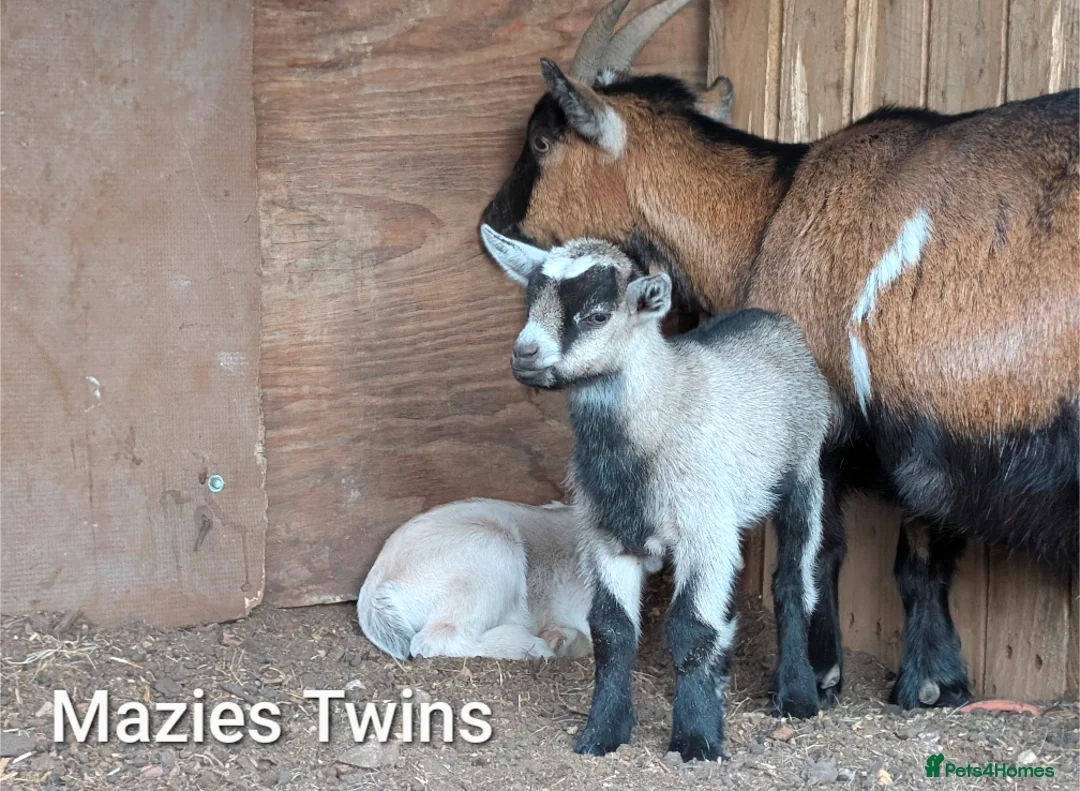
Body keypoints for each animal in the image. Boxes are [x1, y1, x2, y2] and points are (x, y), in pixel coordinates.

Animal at [482, 226, 833, 760]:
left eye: (598, 314)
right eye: (530, 303)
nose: (524, 354)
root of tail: (769, 318)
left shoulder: (702, 530)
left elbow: (690, 627)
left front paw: (696, 739)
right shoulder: (606, 536)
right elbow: (611, 630)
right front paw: (602, 732)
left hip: (803, 471)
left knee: (793, 579)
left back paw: (796, 693)